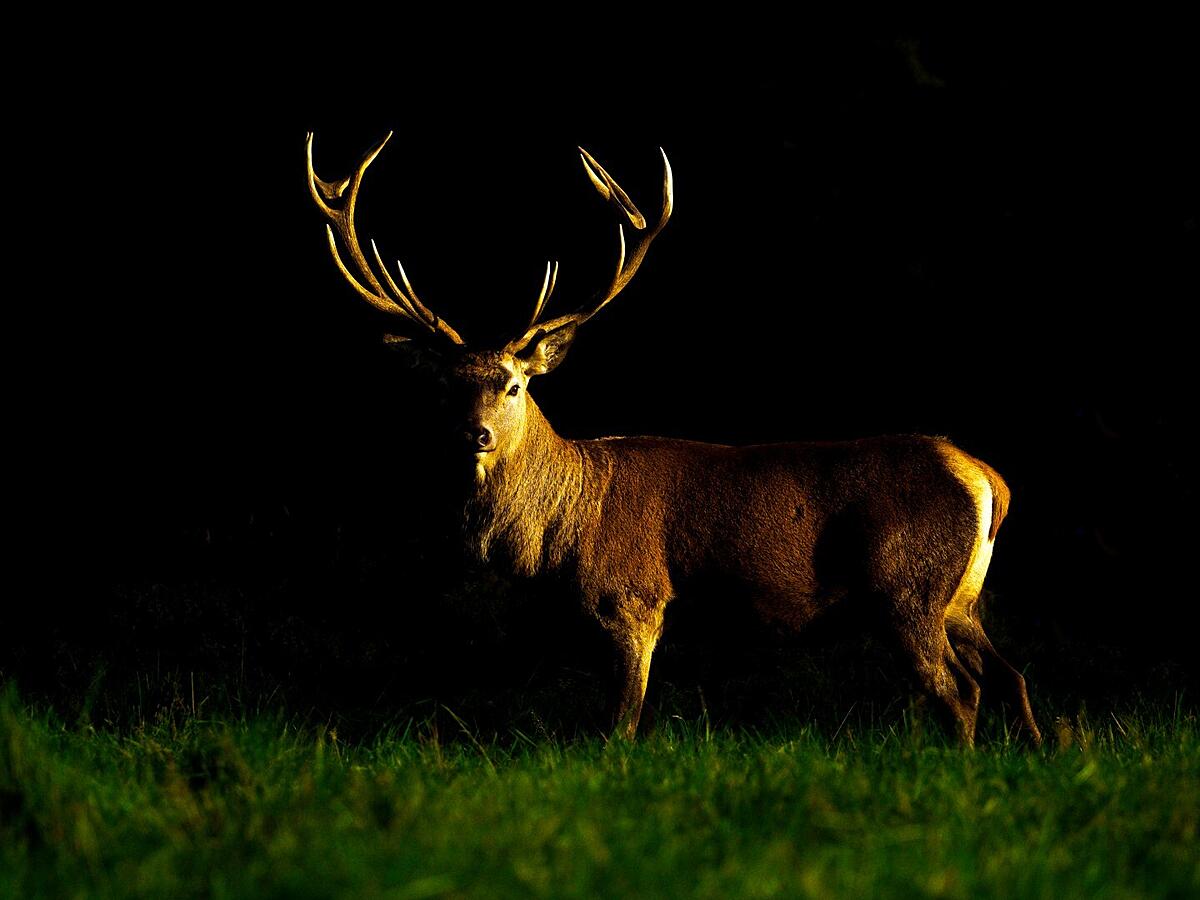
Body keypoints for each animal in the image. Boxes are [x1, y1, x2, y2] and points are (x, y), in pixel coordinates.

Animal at [305, 132, 1042, 747]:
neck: (561, 531)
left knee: (960, 691)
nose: (474, 432)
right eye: (446, 387)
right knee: (1010, 675)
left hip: (907, 587)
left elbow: (621, 725)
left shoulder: (632, 597)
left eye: (513, 385)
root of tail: (986, 479)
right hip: (960, 596)